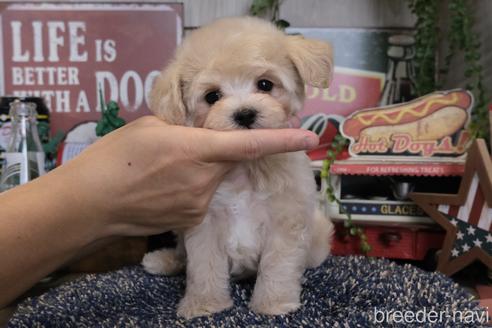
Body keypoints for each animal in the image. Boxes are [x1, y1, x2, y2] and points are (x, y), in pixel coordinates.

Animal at [142, 16, 334, 320]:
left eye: (265, 84)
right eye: (212, 96)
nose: (244, 114)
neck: (246, 167)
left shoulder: (286, 220)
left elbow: (278, 266)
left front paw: (273, 304)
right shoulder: (204, 223)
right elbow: (203, 267)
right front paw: (204, 304)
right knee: (183, 253)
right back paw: (165, 260)